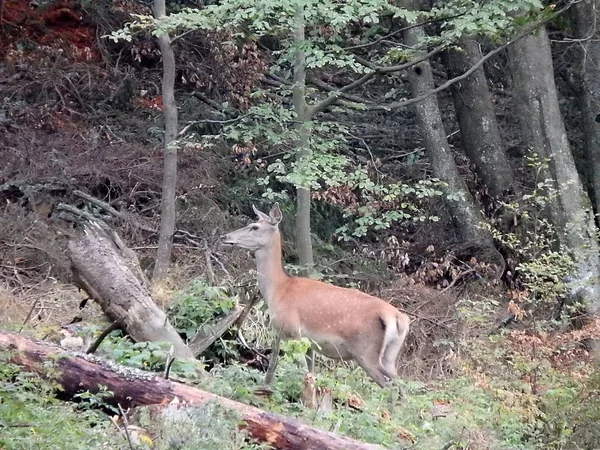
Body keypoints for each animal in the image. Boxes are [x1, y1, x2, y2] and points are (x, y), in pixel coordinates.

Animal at [223, 204, 410, 386]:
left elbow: (296, 371)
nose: (225, 236)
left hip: (366, 351)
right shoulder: (309, 344)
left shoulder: (291, 332)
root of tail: (398, 317)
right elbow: (308, 372)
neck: (277, 289)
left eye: (254, 227)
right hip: (389, 355)